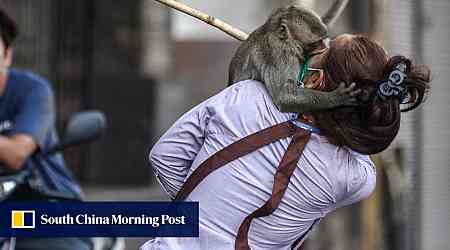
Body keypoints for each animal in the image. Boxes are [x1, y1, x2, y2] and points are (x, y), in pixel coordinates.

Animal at [229, 2, 358, 114]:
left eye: (323, 40)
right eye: (316, 43)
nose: (326, 46)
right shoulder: (280, 54)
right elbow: (284, 97)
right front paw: (337, 97)